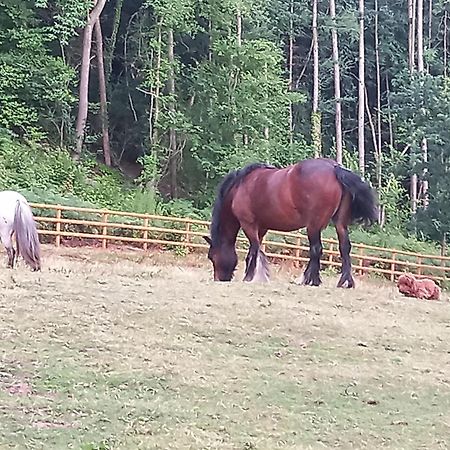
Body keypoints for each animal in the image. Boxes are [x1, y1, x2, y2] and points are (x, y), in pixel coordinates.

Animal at [206, 156, 378, 286]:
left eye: (212, 256)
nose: (219, 279)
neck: (239, 188)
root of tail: (334, 167)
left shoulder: (248, 224)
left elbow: (253, 250)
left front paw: (249, 277)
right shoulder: (261, 228)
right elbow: (257, 249)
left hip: (313, 225)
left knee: (316, 249)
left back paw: (308, 279)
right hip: (340, 223)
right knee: (344, 247)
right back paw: (345, 282)